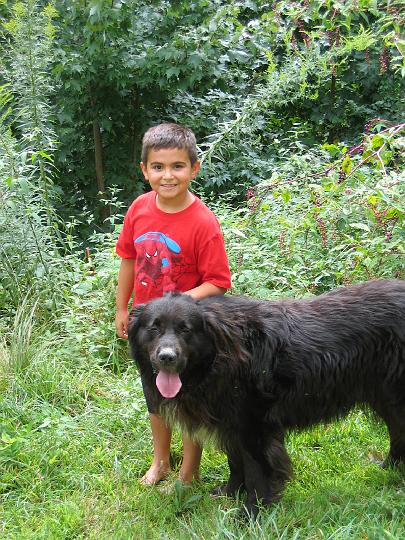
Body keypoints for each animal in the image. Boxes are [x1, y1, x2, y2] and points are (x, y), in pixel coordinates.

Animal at [128, 280, 405, 517]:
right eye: (154, 328)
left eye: (185, 329)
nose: (167, 357)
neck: (222, 352)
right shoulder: (231, 424)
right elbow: (235, 462)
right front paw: (230, 493)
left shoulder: (255, 426)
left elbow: (257, 472)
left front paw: (252, 512)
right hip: (386, 398)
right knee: (397, 434)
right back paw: (390, 468)